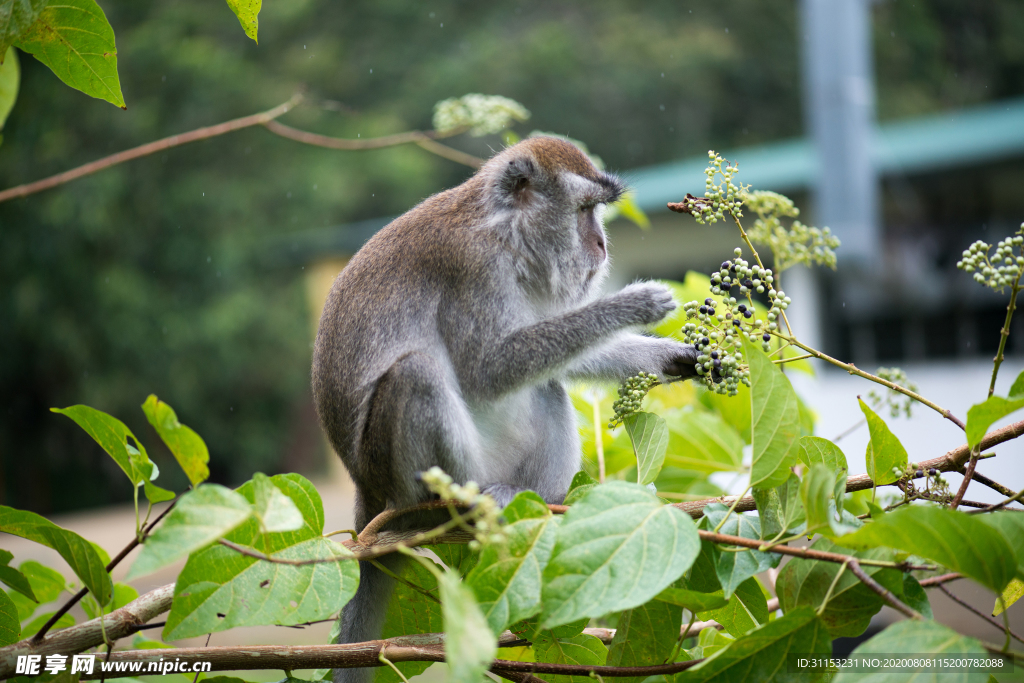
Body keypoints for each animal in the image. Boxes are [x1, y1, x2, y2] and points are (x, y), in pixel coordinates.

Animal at [311, 135, 696, 683]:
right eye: (584, 210)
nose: (601, 246)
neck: (505, 231)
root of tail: (365, 494)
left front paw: (677, 356)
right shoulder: (473, 267)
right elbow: (487, 369)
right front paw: (629, 304)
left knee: (547, 385)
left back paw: (542, 498)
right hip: (396, 479)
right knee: (417, 374)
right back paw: (466, 504)